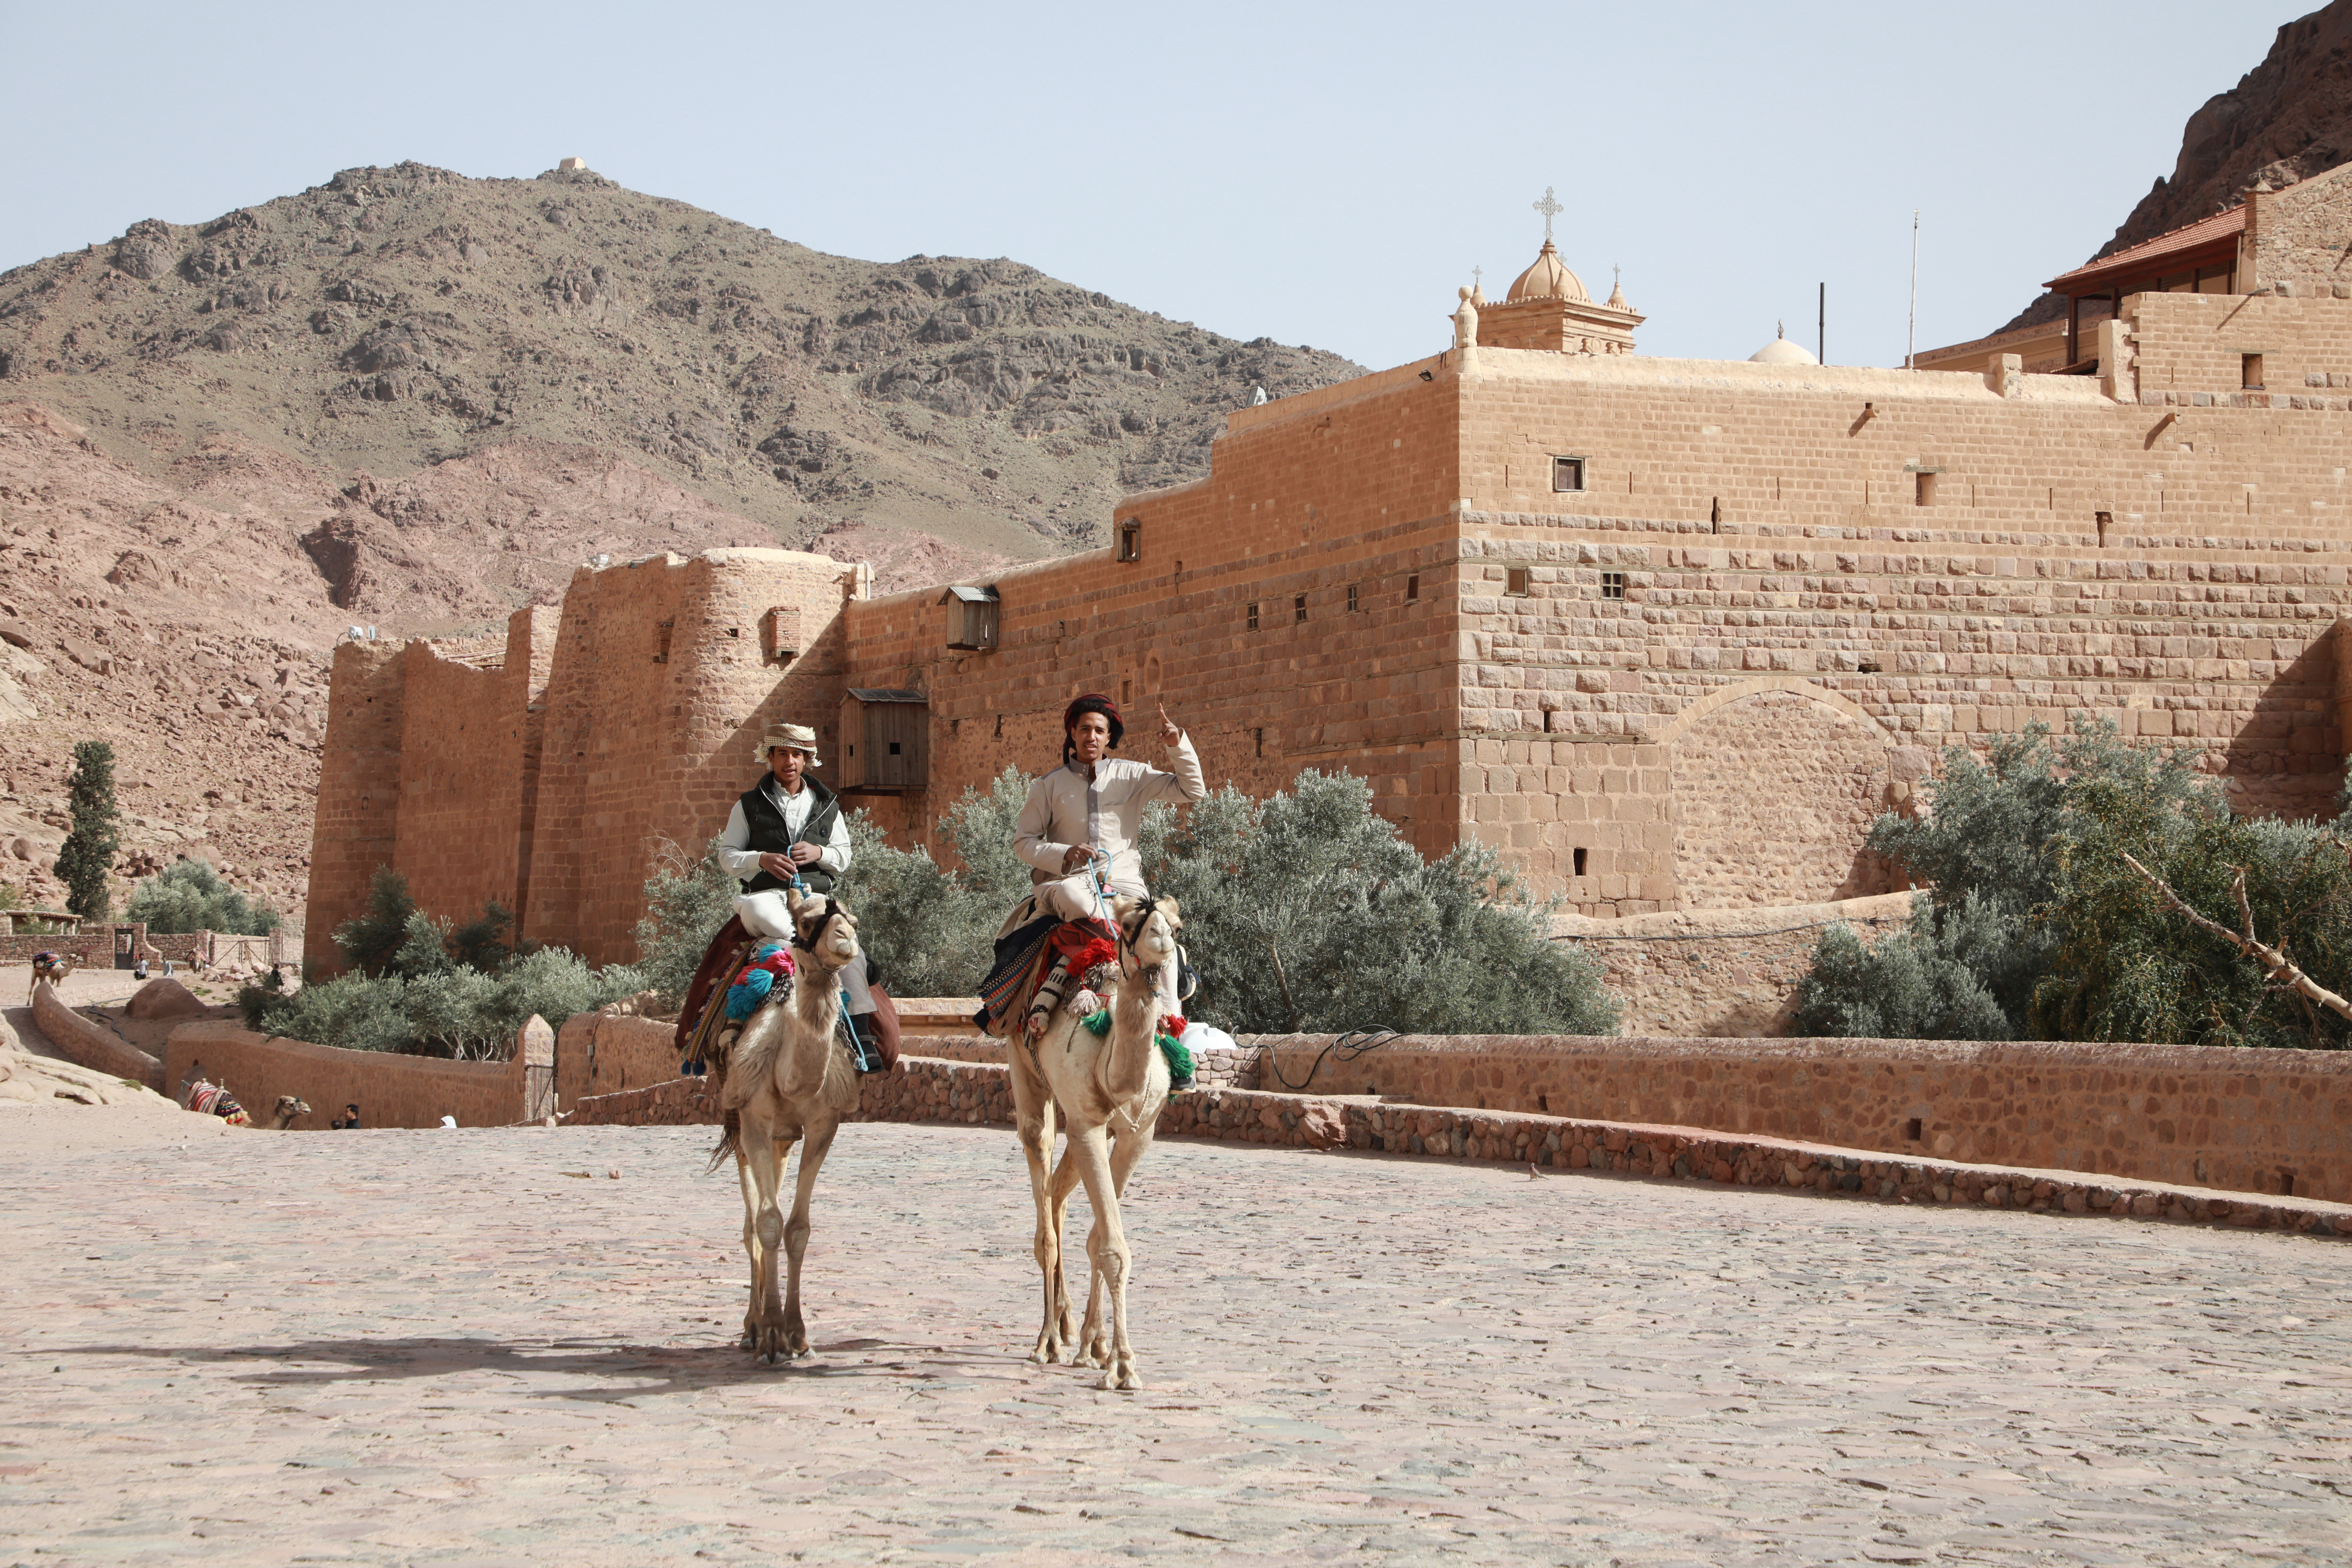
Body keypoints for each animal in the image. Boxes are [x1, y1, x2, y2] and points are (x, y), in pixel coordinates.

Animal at [708, 886, 864, 1364]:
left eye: (854, 919)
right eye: (808, 921)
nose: (846, 939)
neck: (789, 1075)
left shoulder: (823, 1124)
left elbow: (797, 1229)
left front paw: (797, 1333)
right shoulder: (755, 1117)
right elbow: (768, 1224)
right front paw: (773, 1335)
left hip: (782, 1137)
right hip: (739, 1120)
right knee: (751, 1224)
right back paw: (752, 1327)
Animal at [1009, 894, 1180, 1392]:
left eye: (1177, 924)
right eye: (1130, 924)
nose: (1161, 937)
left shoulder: (1138, 1132)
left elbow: (1100, 1238)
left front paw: (1097, 1346)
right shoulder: (1086, 1123)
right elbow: (1112, 1246)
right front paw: (1123, 1365)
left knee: (1059, 1195)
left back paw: (1069, 1327)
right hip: (1025, 1073)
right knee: (1044, 1200)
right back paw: (1048, 1339)